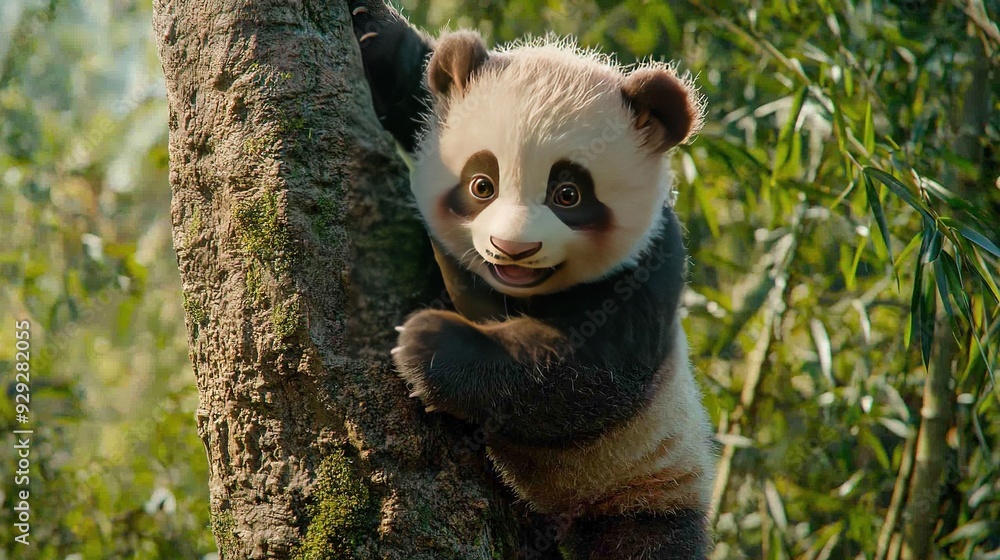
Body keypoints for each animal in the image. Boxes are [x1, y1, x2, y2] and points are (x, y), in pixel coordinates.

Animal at [352, 4, 716, 558]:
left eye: (569, 194)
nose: (512, 249)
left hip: (647, 479)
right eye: (482, 184)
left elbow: (586, 375)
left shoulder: (649, 268)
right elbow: (417, 82)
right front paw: (370, 26)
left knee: (644, 539)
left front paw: (428, 346)